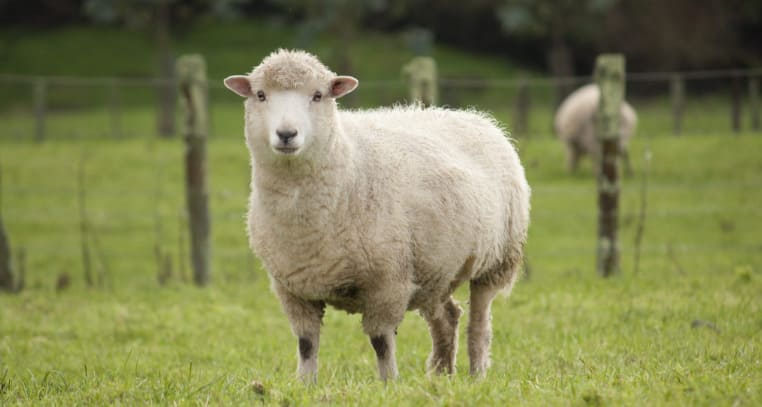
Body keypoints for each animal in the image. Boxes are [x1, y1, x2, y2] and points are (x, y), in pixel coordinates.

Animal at [223, 49, 531, 382]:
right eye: (260, 95)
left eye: (318, 95)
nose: (286, 134)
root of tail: (474, 116)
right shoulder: (292, 288)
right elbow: (306, 343)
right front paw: (305, 384)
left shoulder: (388, 282)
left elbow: (381, 341)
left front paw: (388, 383)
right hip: (434, 268)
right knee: (447, 317)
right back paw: (440, 374)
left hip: (497, 260)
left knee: (479, 323)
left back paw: (476, 375)